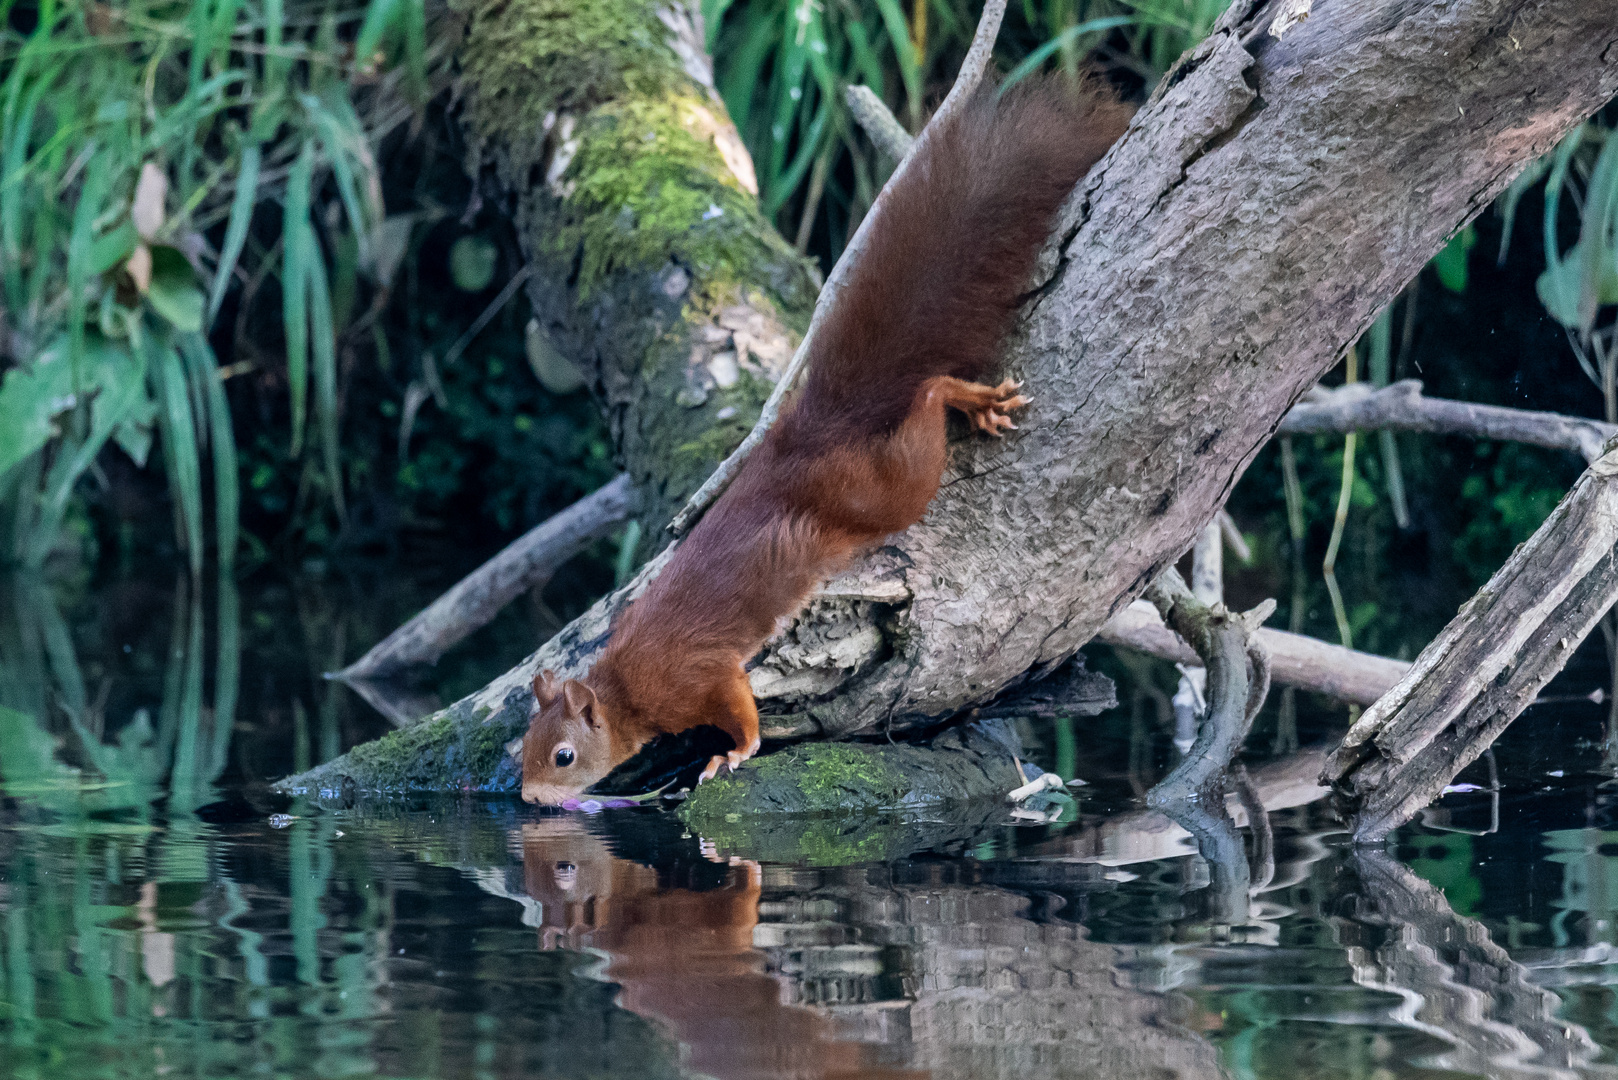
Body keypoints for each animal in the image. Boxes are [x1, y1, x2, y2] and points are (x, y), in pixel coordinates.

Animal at [524, 78, 1132, 803]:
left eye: (562, 756)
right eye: (520, 750)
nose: (527, 798)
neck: (624, 684)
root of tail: (812, 437)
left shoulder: (699, 675)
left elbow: (740, 709)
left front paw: (733, 754)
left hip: (881, 491)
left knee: (925, 407)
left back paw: (969, 398)